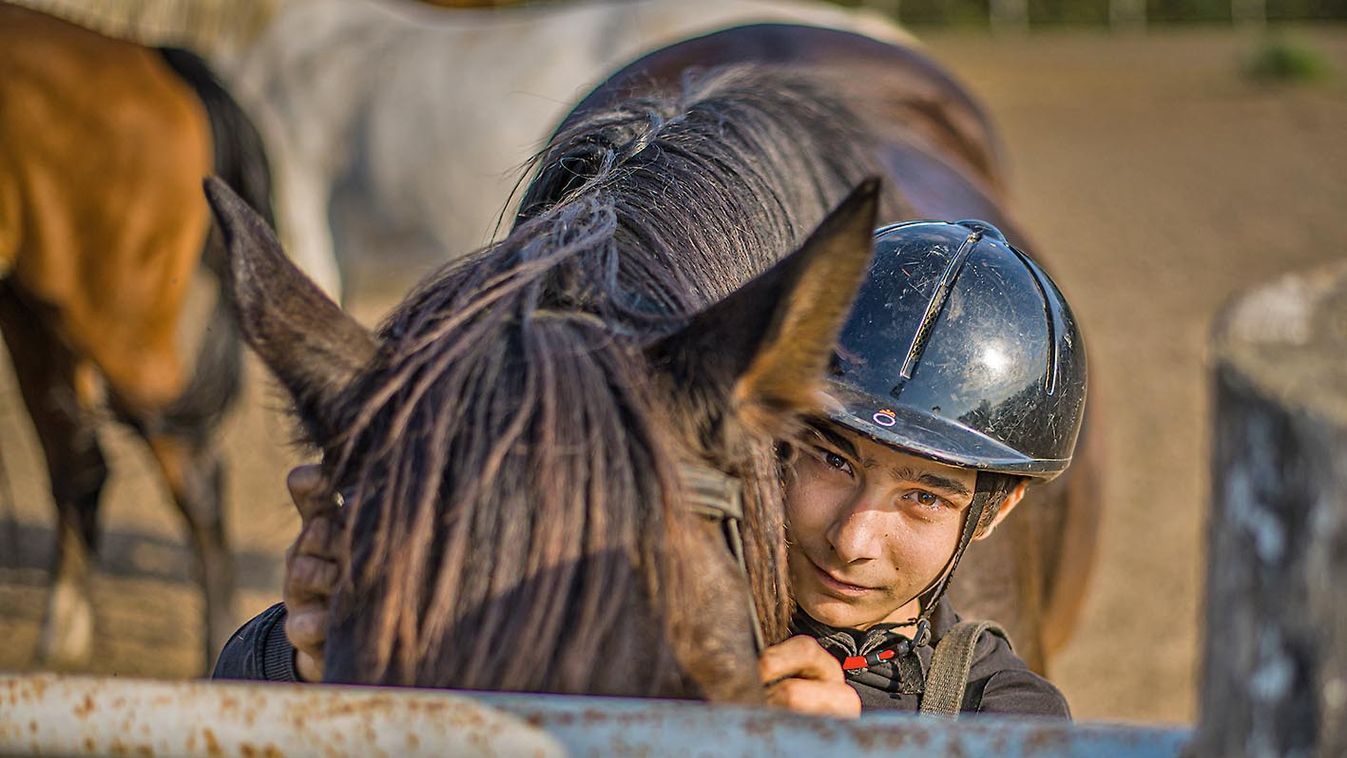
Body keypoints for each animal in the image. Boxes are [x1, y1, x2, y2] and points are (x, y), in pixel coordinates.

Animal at [0, 5, 274, 670]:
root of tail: (155, 56)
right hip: (35, 310)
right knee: (80, 463)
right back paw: (62, 635)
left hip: (109, 313)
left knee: (192, 473)